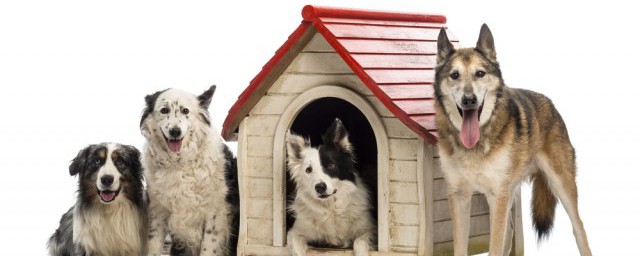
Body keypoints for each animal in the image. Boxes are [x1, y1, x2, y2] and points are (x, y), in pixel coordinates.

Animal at [139, 86, 238, 256]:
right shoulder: (157, 212)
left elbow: (208, 248)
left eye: (185, 110)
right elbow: (152, 246)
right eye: (164, 110)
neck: (179, 163)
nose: (175, 131)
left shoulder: (217, 214)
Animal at [284, 118, 376, 256]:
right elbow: (296, 250)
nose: (320, 187)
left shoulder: (370, 229)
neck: (331, 207)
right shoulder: (295, 232)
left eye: (331, 165)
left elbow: (359, 242)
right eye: (308, 170)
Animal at [436, 24, 592, 256]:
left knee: (579, 228)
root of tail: (551, 104)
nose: (469, 100)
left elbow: (494, 246)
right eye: (454, 75)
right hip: (510, 193)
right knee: (509, 232)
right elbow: (462, 248)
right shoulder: (459, 196)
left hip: (561, 185)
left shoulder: (496, 196)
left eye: (479, 74)